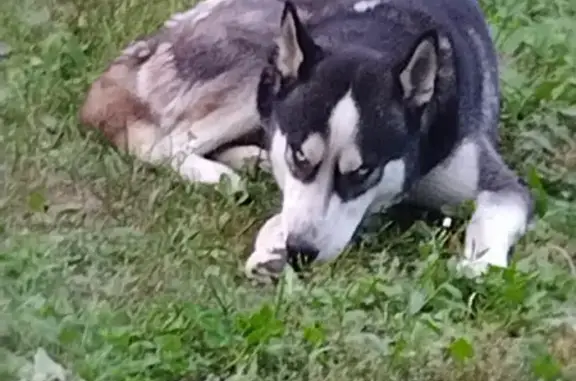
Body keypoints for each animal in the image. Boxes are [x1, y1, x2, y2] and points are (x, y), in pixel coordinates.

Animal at [79, 0, 532, 282]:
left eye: (363, 172)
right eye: (300, 155)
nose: (300, 251)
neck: (374, 39)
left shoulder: (497, 183)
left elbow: (490, 219)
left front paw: (480, 264)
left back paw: (249, 159)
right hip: (256, 70)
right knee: (162, 141)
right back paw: (217, 175)